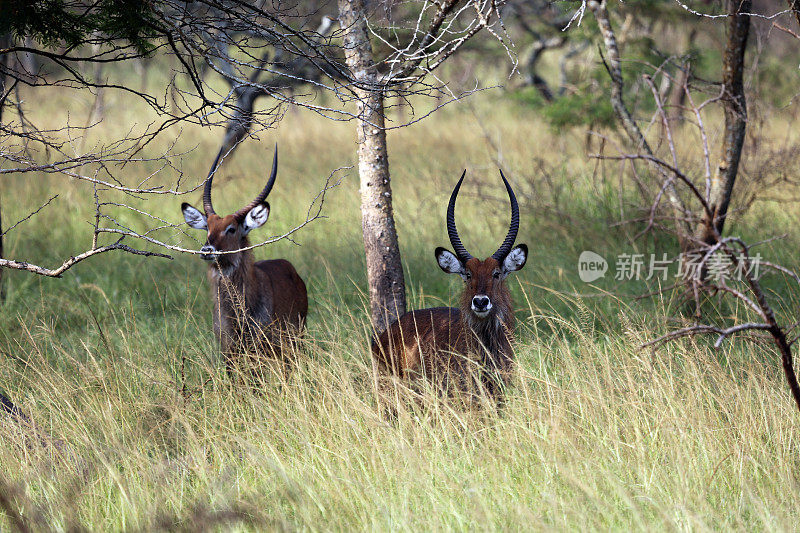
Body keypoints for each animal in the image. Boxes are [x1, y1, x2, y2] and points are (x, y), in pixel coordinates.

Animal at [182, 145, 310, 378]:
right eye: (208, 228)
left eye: (231, 228)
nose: (207, 250)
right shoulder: (228, 351)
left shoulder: (258, 348)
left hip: (294, 339)